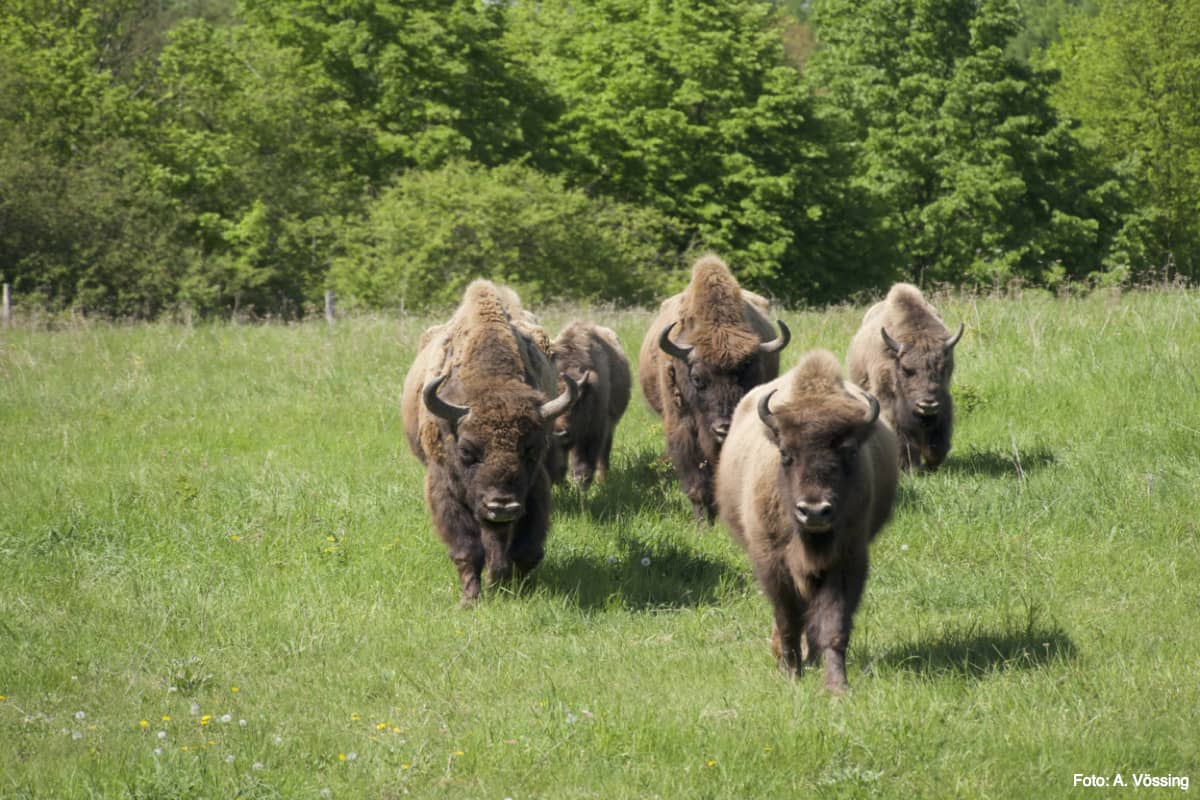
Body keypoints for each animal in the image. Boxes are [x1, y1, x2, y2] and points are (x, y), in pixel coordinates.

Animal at [398, 281, 576, 606]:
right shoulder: (446, 489)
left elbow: (526, 549)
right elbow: (467, 550)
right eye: (467, 450)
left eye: (532, 449)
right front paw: (470, 600)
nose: (502, 505)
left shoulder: (533, 490)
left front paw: (514, 589)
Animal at [549, 321, 633, 489]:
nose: (559, 433)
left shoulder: (594, 431)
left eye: (577, 403)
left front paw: (581, 487)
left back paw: (602, 480)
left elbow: (583, 464)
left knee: (603, 455)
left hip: (609, 427)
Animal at [633, 253, 792, 522]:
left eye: (749, 374)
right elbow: (696, 481)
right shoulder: (682, 427)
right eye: (697, 378)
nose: (722, 428)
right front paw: (702, 522)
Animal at [715, 350, 897, 695]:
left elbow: (834, 625)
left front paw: (837, 688)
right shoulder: (772, 563)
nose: (813, 511)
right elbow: (788, 619)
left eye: (849, 451)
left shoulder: (846, 561)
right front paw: (791, 675)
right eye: (786, 454)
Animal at [844, 281, 964, 470]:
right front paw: (908, 466)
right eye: (907, 369)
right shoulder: (887, 400)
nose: (927, 404)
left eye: (943, 368)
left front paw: (932, 462)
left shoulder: (943, 402)